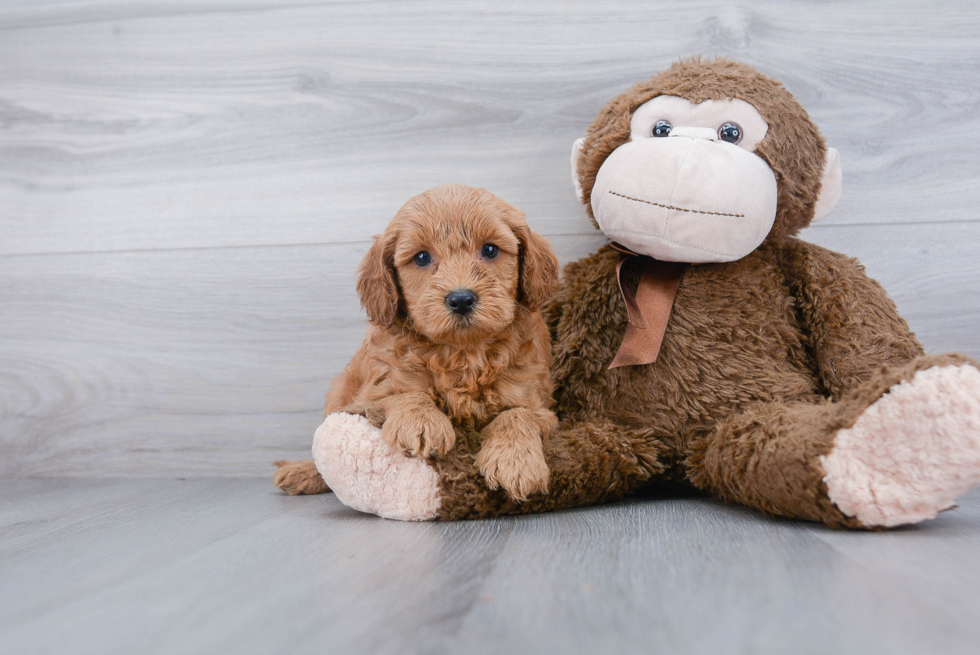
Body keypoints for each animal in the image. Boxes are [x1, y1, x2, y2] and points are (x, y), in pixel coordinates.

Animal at [276, 184, 564, 502]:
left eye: (490, 250)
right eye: (422, 257)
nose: (461, 299)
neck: (462, 352)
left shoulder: (538, 403)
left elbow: (518, 414)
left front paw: (515, 460)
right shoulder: (372, 393)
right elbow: (403, 393)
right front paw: (421, 421)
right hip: (339, 393)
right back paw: (302, 472)